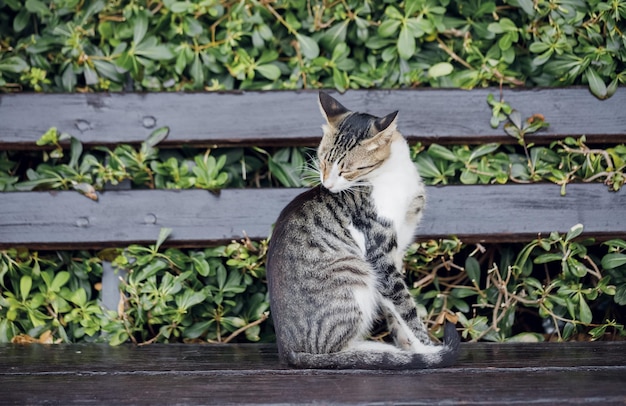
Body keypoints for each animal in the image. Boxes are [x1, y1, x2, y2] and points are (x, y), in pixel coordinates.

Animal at [264, 93, 458, 372]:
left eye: (348, 169)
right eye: (322, 161)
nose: (327, 184)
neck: (391, 175)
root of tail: (288, 351)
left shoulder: (396, 253)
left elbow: (395, 310)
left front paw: (410, 347)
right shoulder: (380, 254)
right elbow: (406, 307)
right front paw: (428, 349)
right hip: (354, 275)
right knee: (333, 351)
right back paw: (375, 350)